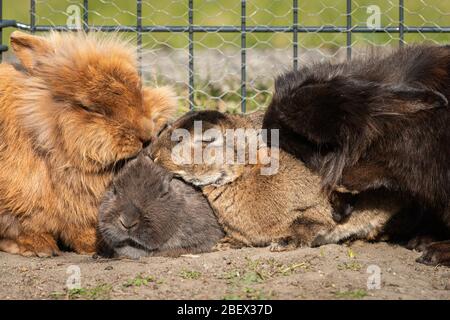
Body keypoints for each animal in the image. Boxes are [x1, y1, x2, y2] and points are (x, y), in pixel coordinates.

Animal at [0, 31, 178, 258]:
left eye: (139, 90)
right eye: (90, 108)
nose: (146, 135)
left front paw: (95, 246)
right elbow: (23, 227)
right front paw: (40, 248)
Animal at [151, 110, 418, 250]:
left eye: (205, 141)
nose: (153, 155)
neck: (246, 168)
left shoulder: (317, 206)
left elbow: (309, 223)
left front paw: (284, 243)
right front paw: (227, 243)